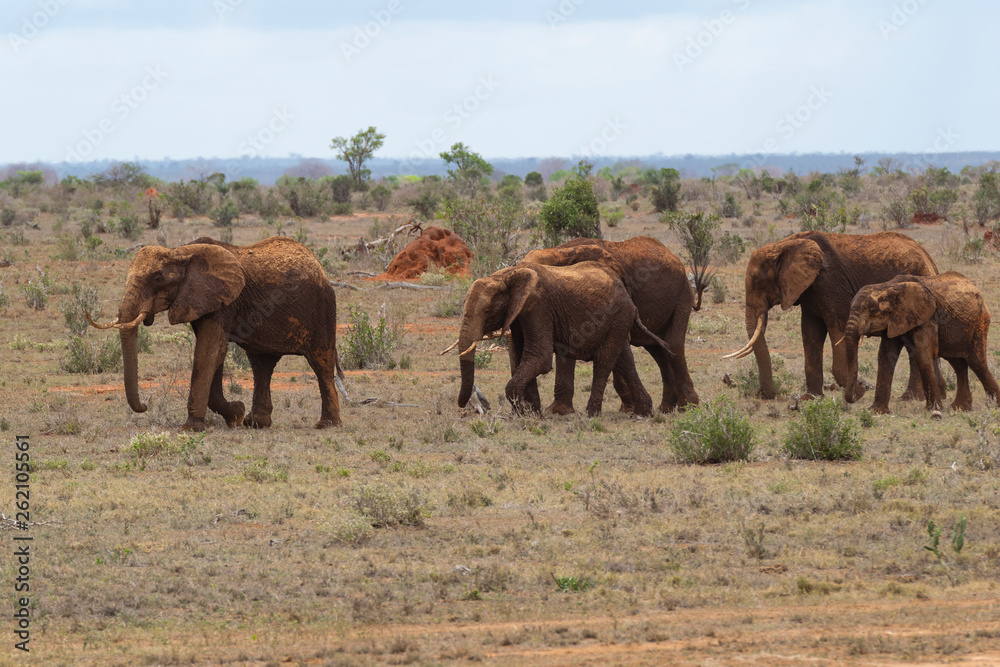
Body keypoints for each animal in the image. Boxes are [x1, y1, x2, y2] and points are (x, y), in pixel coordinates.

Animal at [91, 237, 348, 430]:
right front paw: (236, 414)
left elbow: (209, 350)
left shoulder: (223, 300)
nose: (145, 405)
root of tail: (319, 266)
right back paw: (256, 423)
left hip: (323, 308)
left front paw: (192, 427)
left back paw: (326, 425)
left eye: (157, 278)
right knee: (262, 365)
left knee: (321, 364)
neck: (180, 252)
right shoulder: (202, 301)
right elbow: (215, 352)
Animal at [520, 235, 700, 412]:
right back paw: (666, 408)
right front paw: (558, 412)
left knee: (673, 345)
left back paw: (687, 407)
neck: (559, 252)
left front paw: (629, 409)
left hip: (682, 296)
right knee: (657, 349)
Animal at [724, 230, 940, 400]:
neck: (786, 244)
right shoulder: (809, 290)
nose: (774, 395)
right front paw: (810, 398)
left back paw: (911, 398)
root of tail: (930, 259)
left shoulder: (831, 283)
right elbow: (810, 333)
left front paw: (859, 392)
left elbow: (838, 330)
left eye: (760, 283)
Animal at [844, 272, 1000, 418]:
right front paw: (876, 411)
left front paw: (933, 409)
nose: (860, 390)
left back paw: (993, 406)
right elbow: (885, 356)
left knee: (977, 363)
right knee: (958, 365)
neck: (888, 287)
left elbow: (922, 354)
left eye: (873, 311)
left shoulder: (927, 317)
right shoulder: (895, 319)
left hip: (980, 321)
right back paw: (960, 408)